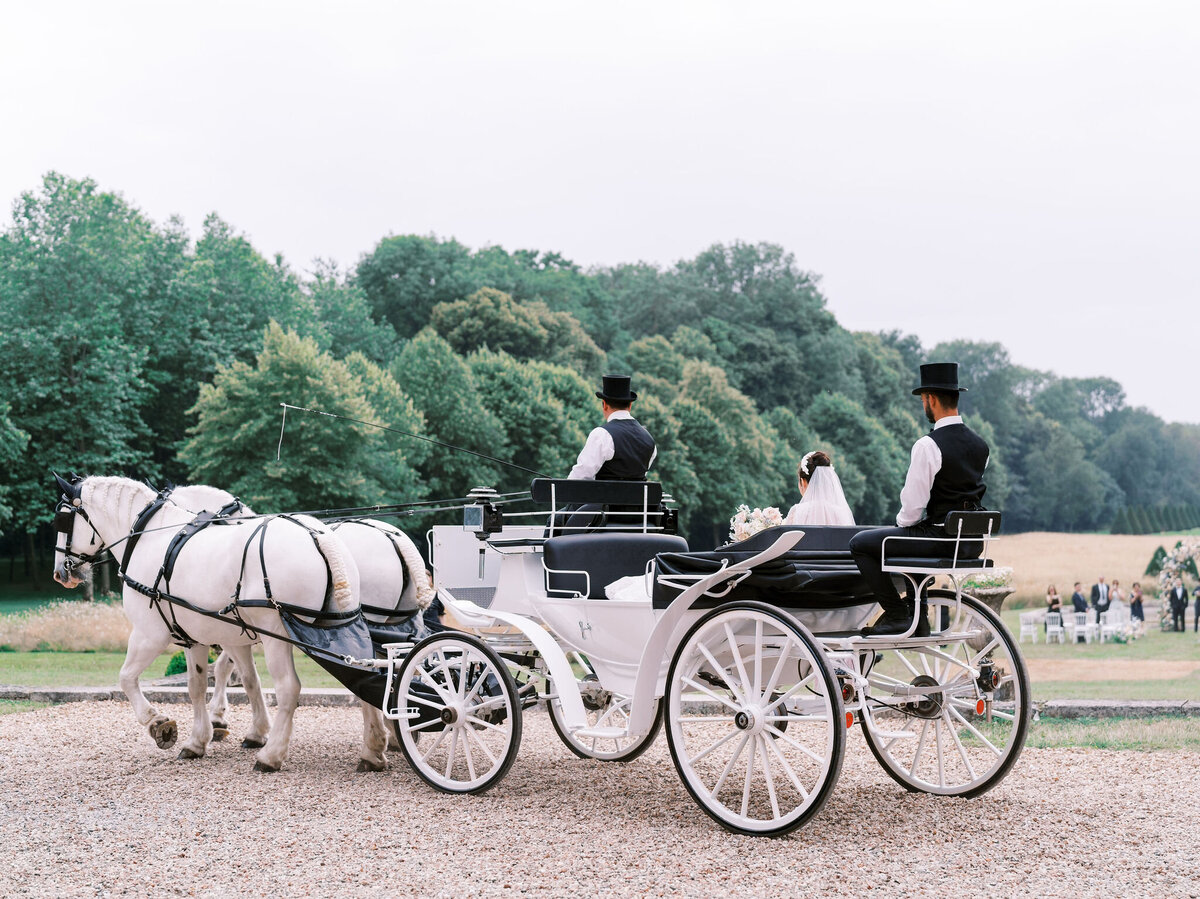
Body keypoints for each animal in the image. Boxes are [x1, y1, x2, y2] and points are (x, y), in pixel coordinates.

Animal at [52, 477, 388, 772]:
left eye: (62, 520)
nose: (60, 573)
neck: (151, 536)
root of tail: (318, 535)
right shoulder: (201, 636)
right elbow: (204, 684)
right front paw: (201, 740)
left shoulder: (150, 635)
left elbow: (126, 678)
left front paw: (158, 723)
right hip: (342, 628)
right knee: (363, 674)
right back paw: (373, 749)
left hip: (277, 635)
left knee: (289, 688)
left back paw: (271, 757)